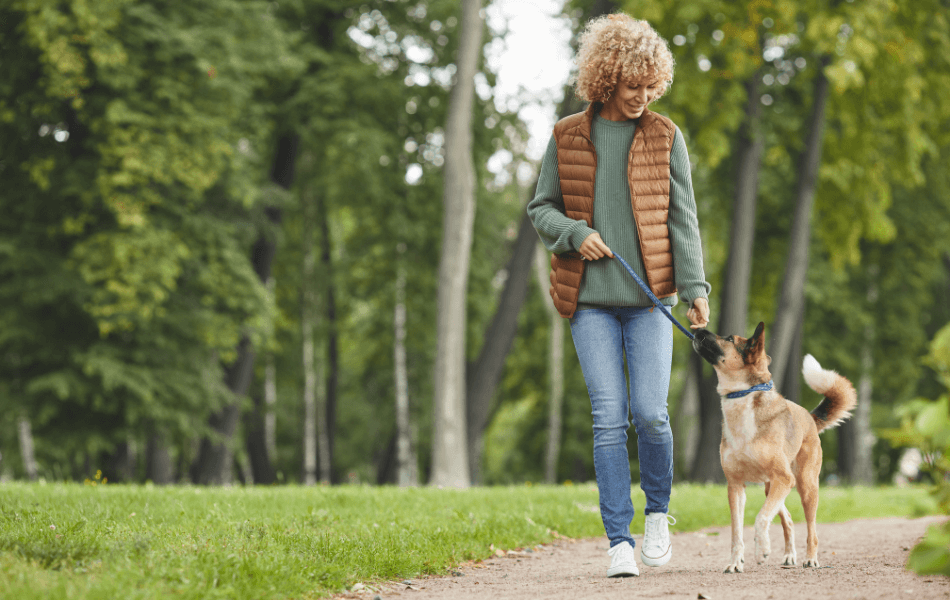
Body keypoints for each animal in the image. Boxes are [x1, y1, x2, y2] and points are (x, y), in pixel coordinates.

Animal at [692, 324, 864, 572]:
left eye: (729, 339)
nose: (697, 330)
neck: (742, 398)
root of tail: (810, 417)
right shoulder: (736, 486)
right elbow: (736, 531)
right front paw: (735, 563)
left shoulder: (783, 479)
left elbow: (761, 518)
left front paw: (762, 550)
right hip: (771, 486)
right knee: (788, 519)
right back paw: (790, 555)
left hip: (804, 485)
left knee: (811, 530)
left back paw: (810, 559)